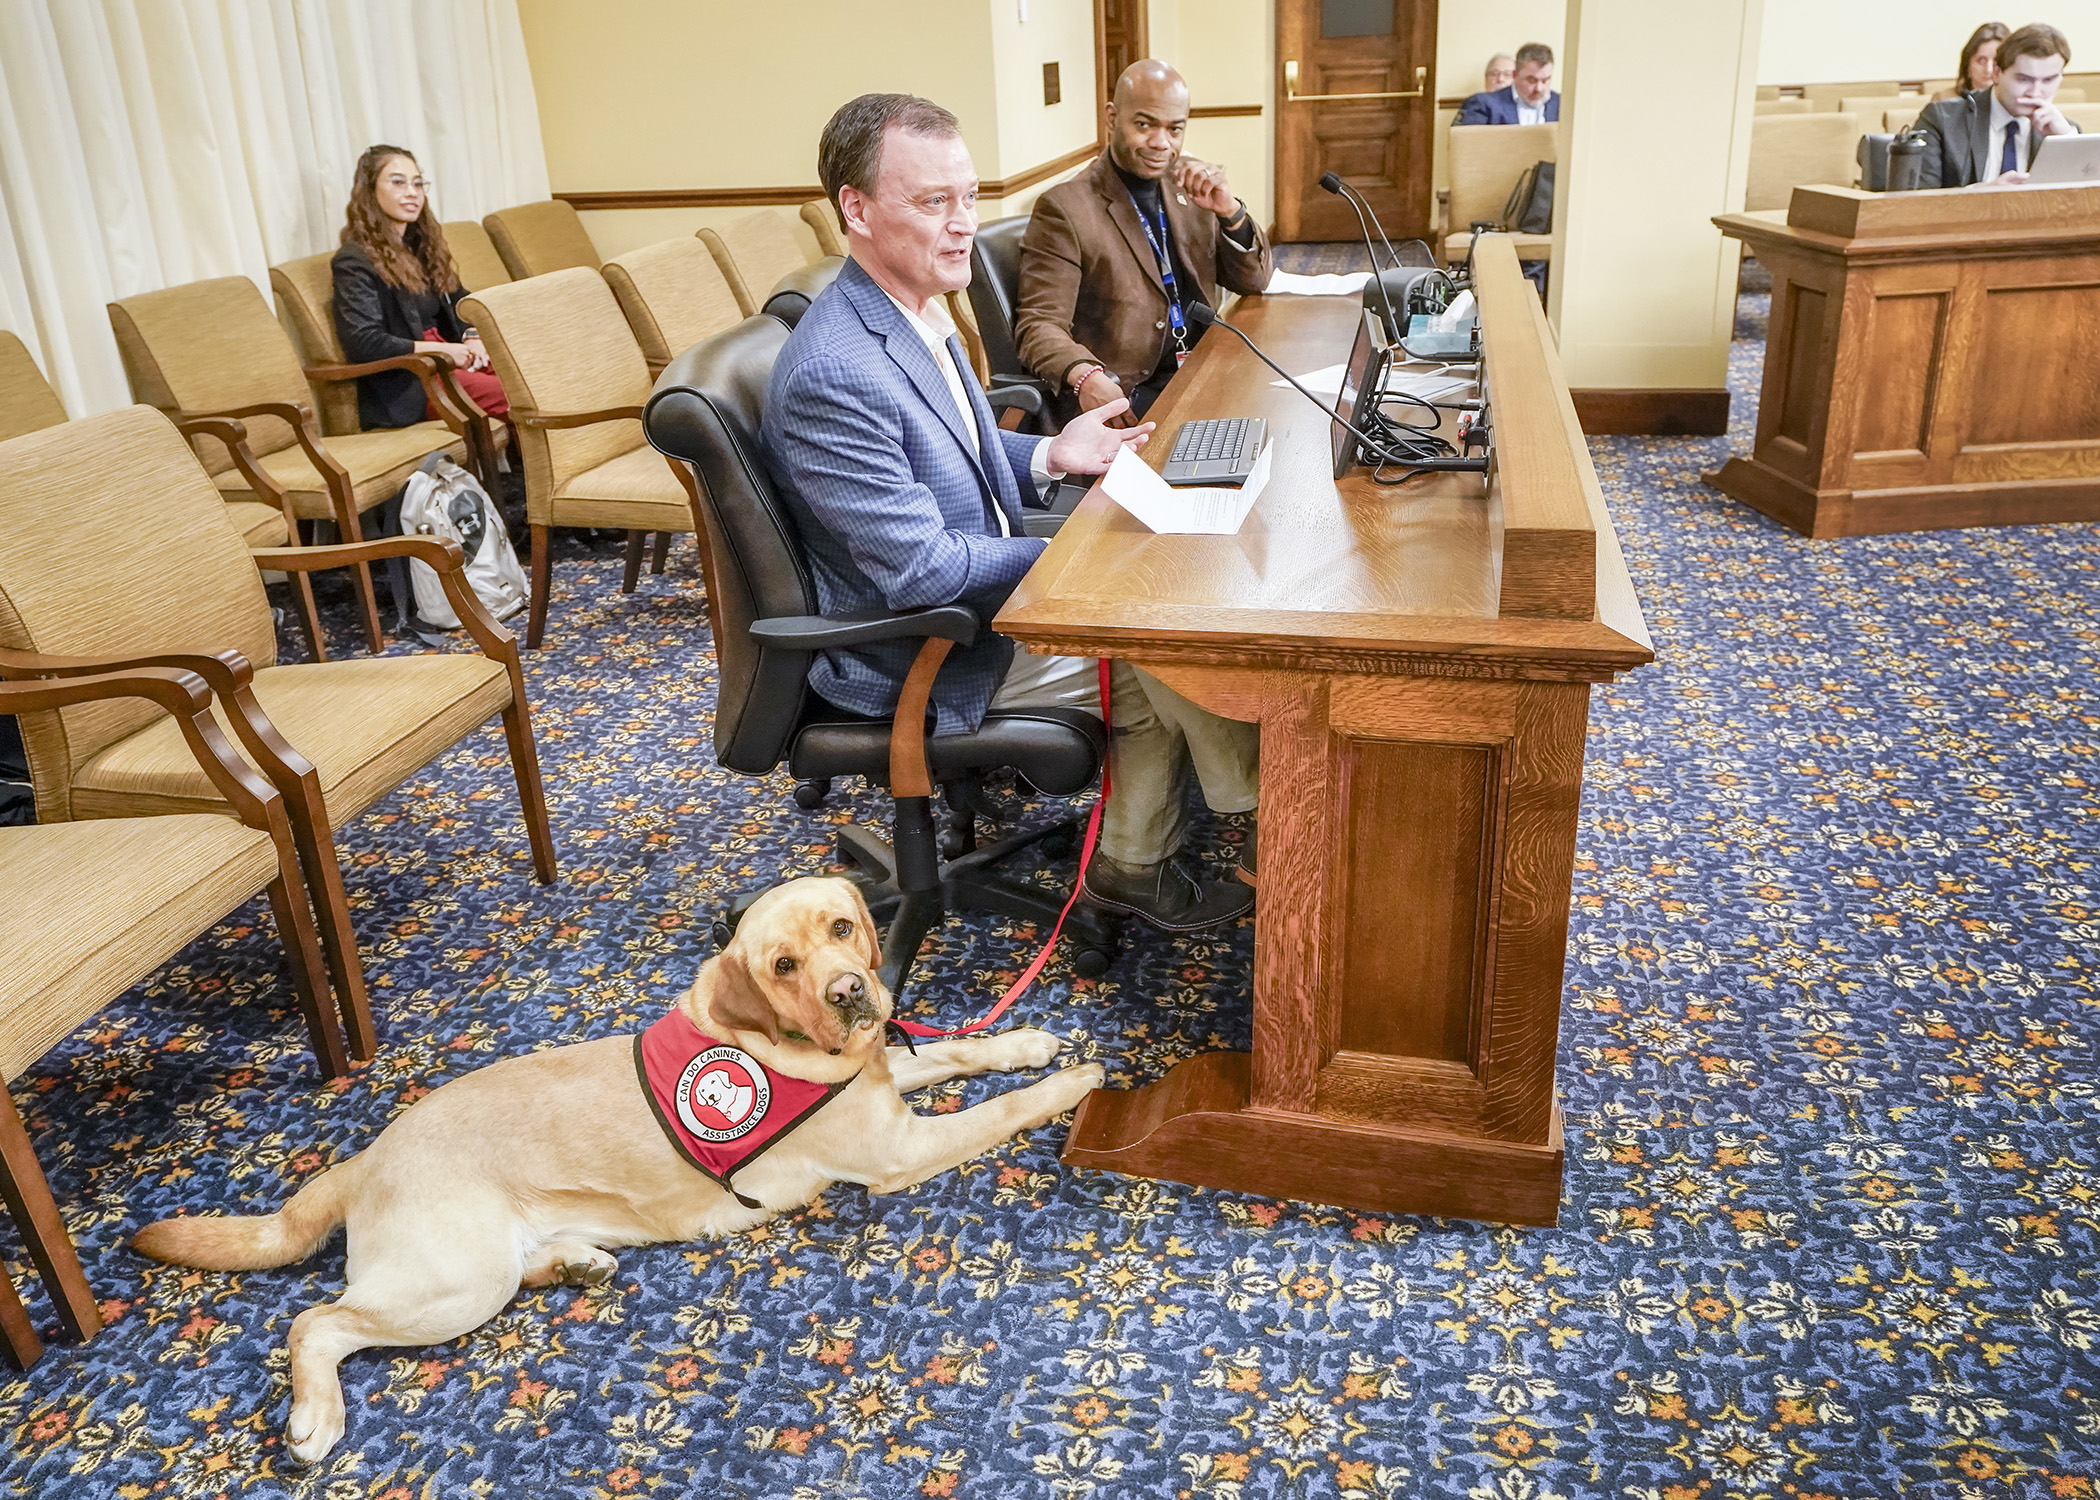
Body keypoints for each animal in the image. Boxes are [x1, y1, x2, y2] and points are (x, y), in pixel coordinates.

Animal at [139, 878, 1108, 1462]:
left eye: (843, 929)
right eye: (783, 965)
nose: (850, 993)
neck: (799, 1050)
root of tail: (367, 1155)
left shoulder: (881, 1080)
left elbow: (956, 1054)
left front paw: (1025, 1041)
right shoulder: (897, 1150)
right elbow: (997, 1109)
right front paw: (1072, 1083)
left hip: (482, 1269)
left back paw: (577, 1262)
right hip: (452, 1282)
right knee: (318, 1322)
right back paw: (315, 1416)